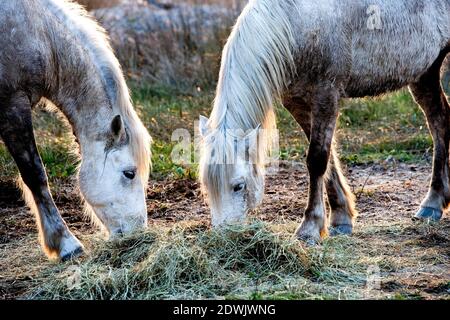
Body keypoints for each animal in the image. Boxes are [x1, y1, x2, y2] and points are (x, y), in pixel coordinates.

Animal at [0, 0, 152, 260]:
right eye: (129, 173)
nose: (138, 231)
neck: (38, 31)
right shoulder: (12, 105)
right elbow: (35, 175)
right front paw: (66, 244)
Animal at [200, 0, 450, 241]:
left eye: (238, 186)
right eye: (207, 188)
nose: (225, 236)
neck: (296, 23)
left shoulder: (326, 95)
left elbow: (317, 159)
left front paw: (309, 227)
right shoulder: (297, 102)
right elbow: (326, 160)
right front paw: (341, 218)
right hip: (426, 73)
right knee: (439, 120)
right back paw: (434, 203)